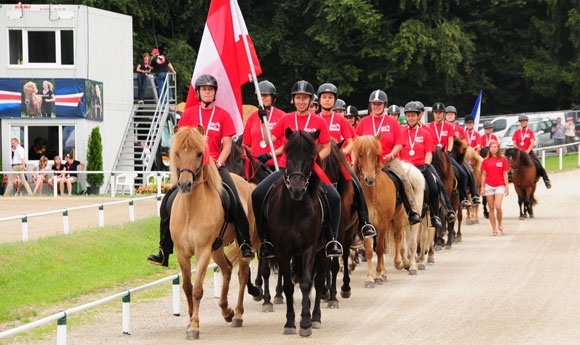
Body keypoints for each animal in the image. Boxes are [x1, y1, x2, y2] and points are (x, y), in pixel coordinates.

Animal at [169, 124, 258, 338]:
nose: (185, 184)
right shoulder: (181, 252)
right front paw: (190, 321)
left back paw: (237, 315)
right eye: (177, 153)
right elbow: (187, 287)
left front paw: (194, 326)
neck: (191, 210)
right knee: (227, 268)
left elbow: (197, 289)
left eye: (199, 153)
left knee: (242, 274)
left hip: (241, 245)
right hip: (217, 248)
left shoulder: (203, 251)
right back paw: (226, 310)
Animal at [262, 127, 326, 334]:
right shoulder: (282, 250)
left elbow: (306, 283)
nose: (297, 190)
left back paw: (316, 317)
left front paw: (305, 322)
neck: (294, 210)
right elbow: (289, 286)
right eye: (288, 155)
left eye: (311, 157)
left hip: (323, 250)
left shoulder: (309, 248)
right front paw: (290, 322)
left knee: (319, 280)